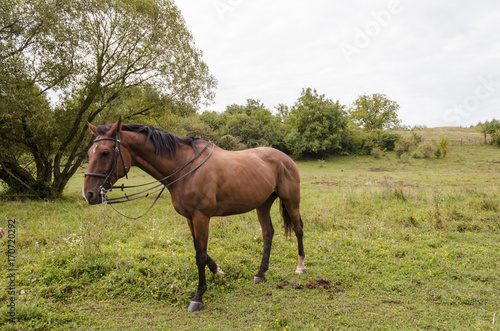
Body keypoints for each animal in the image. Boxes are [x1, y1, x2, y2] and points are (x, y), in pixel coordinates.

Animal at [82, 118, 304, 312]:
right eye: (89, 153)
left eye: (105, 152)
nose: (89, 194)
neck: (185, 168)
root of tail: (284, 157)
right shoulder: (190, 218)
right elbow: (199, 250)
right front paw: (218, 270)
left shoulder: (201, 217)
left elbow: (200, 255)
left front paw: (198, 297)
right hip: (263, 205)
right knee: (268, 233)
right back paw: (261, 273)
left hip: (291, 201)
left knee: (298, 229)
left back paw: (300, 266)